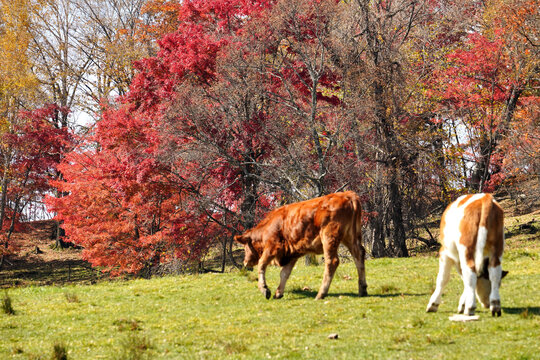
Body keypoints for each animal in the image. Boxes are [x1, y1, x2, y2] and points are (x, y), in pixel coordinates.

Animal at [235, 191, 368, 300]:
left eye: (245, 247)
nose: (245, 262)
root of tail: (347, 194)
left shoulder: (272, 247)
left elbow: (261, 265)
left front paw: (264, 289)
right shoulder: (293, 253)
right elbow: (284, 273)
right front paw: (278, 293)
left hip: (329, 237)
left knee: (332, 261)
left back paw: (321, 294)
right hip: (351, 238)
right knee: (359, 256)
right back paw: (362, 290)